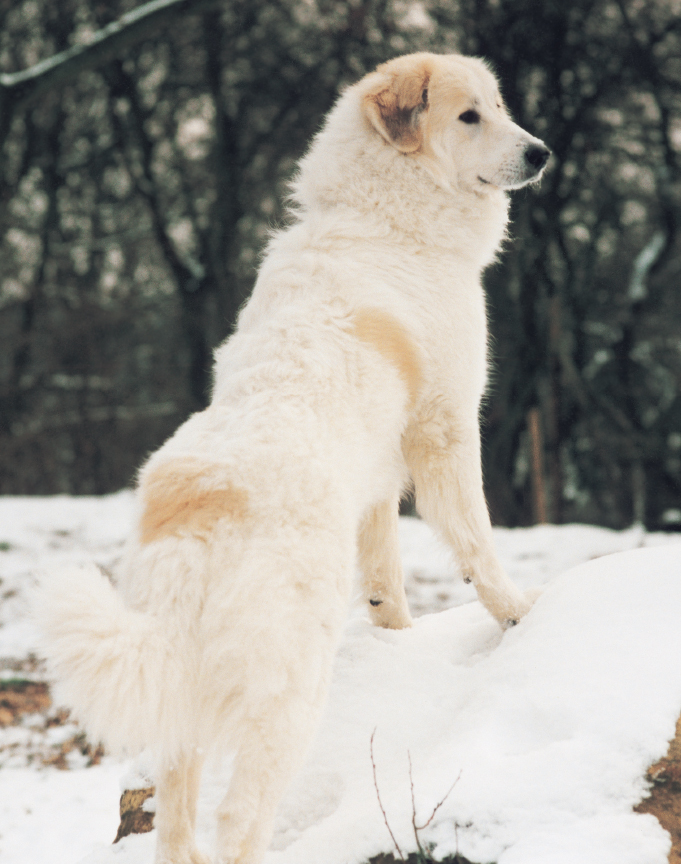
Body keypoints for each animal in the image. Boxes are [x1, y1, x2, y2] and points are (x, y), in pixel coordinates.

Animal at [35, 52, 548, 864]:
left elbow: (386, 580)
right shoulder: (444, 432)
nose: (541, 154)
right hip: (288, 699)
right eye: (471, 116)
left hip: (181, 703)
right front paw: (520, 614)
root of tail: (203, 509)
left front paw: (400, 641)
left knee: (176, 820)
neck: (383, 217)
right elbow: (476, 542)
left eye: (497, 107)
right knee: (240, 820)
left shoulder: (379, 483)